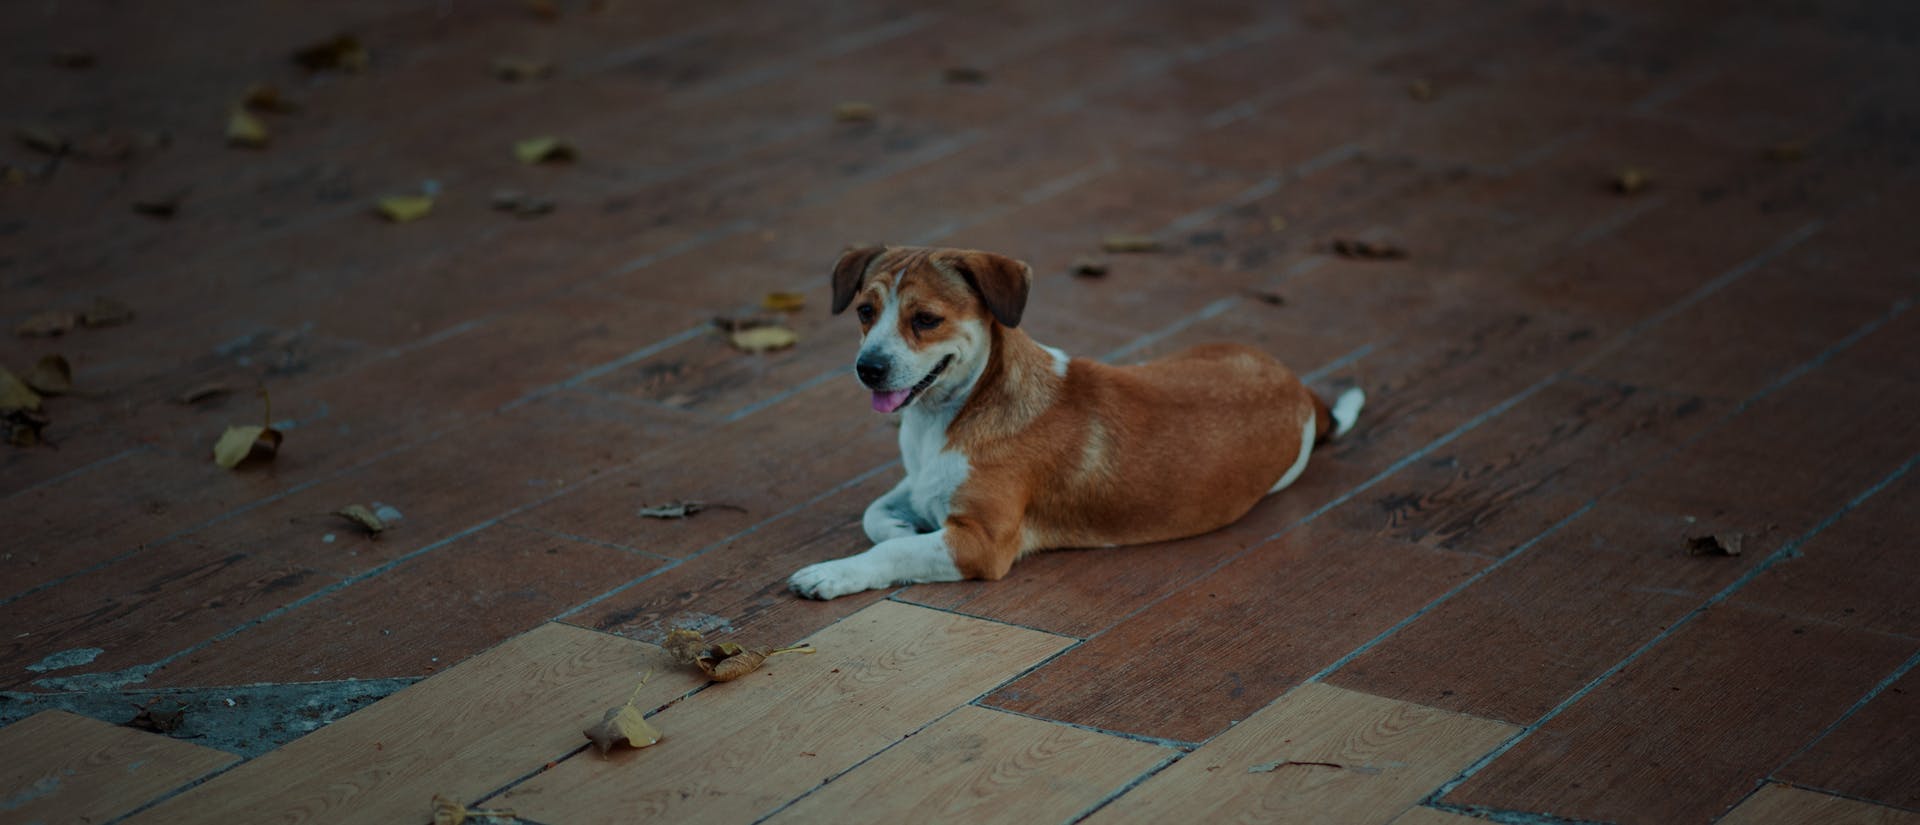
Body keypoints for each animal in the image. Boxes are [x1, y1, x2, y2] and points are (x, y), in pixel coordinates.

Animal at [783, 244, 1367, 598]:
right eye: (864, 311)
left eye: (925, 320)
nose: (869, 368)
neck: (955, 411)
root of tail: (1298, 388)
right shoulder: (921, 483)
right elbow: (877, 515)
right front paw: (900, 524)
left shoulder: (982, 544)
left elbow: (893, 550)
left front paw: (834, 573)